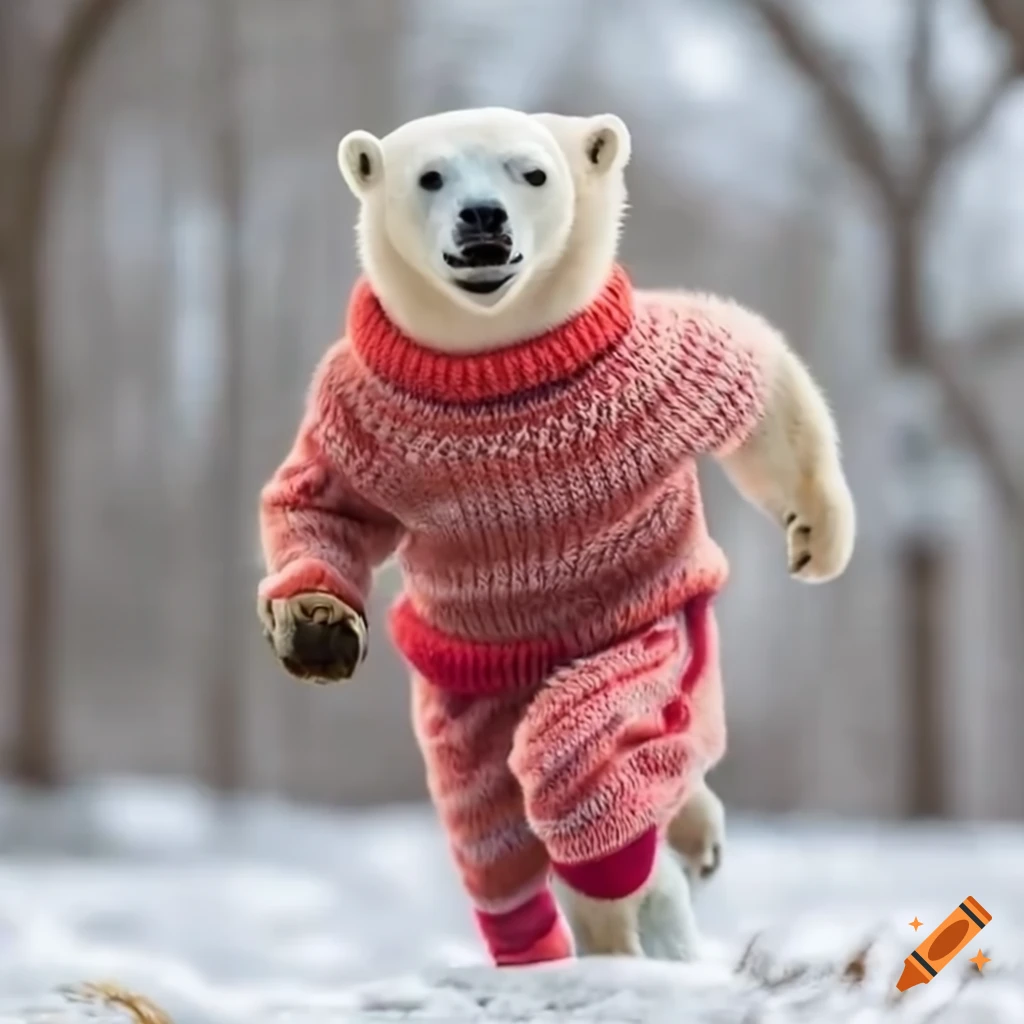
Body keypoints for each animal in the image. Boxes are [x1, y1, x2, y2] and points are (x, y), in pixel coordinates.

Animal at [257, 106, 855, 966]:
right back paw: (545, 937)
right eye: (430, 176)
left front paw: (817, 536)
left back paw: (642, 884)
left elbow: (755, 371)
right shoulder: (359, 408)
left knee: (586, 749)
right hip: (462, 699)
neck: (499, 362)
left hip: (649, 638)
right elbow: (321, 506)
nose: (483, 219)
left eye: (531, 171)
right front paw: (317, 626)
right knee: (486, 832)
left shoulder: (645, 367)